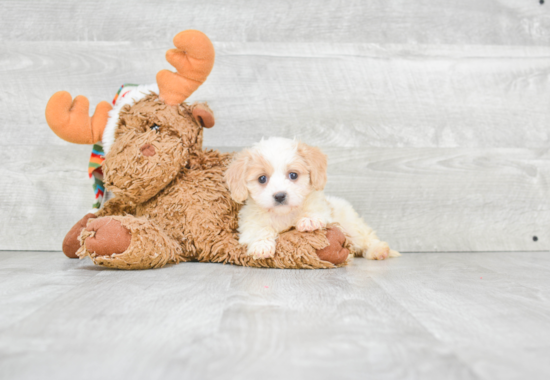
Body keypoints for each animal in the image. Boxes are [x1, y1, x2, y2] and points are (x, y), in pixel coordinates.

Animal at [225, 139, 402, 262]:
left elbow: (315, 212)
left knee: (367, 238)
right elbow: (259, 230)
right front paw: (261, 246)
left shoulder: (323, 210)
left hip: (352, 225)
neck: (284, 214)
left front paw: (308, 220)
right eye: (262, 179)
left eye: (293, 175)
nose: (280, 195)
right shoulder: (249, 223)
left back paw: (378, 250)